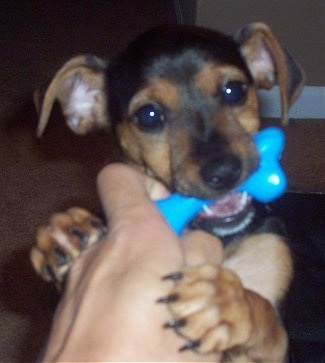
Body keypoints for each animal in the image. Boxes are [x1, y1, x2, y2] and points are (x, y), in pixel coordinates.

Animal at [31, 24, 304, 362]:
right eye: (148, 115)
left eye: (235, 90)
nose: (225, 172)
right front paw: (65, 230)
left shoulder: (275, 329)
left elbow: (263, 312)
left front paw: (224, 301)